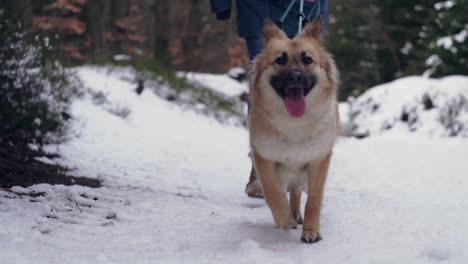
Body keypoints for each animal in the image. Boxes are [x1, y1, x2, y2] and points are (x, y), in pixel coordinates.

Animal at [249, 18, 340, 243]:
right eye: (280, 60)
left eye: (307, 60)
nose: (296, 77)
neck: (294, 125)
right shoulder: (265, 159)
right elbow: (273, 192)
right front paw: (283, 218)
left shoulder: (317, 161)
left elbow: (313, 200)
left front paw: (310, 230)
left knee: (297, 192)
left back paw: (297, 215)